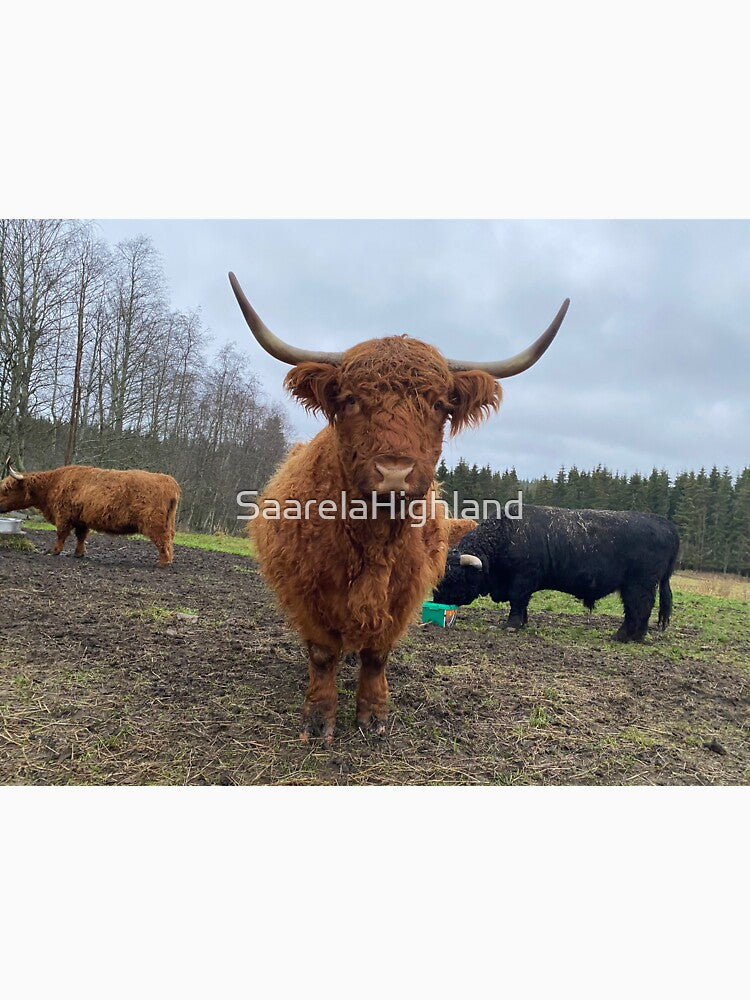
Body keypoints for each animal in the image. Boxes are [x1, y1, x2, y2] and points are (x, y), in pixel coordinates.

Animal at [0, 463, 180, 566]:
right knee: (170, 539)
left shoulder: (63, 516)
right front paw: (79, 554)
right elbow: (81, 536)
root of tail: (170, 482)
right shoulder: (81, 520)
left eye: (7, 489)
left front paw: (54, 551)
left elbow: (61, 534)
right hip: (169, 522)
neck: (53, 484)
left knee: (163, 540)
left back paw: (163, 562)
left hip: (154, 523)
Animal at [229, 272, 569, 741]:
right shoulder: (307, 590)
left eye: (440, 404)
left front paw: (373, 716)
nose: (394, 472)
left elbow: (377, 656)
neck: (373, 539)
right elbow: (322, 655)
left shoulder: (403, 595)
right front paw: (318, 719)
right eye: (351, 399)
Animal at [433, 505, 680, 641]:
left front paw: (512, 625)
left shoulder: (522, 580)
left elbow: (517, 602)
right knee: (639, 610)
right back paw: (635, 637)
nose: (436, 601)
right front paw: (522, 623)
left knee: (639, 608)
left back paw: (623, 636)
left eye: (454, 579)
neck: (504, 536)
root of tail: (665, 524)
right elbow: (523, 605)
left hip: (639, 585)